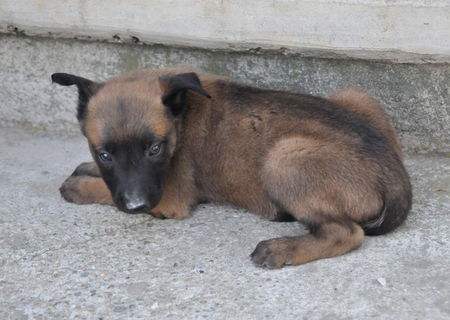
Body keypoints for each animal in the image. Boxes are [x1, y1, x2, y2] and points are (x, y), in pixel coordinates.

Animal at [51, 68, 412, 270]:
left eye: (155, 149)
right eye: (105, 155)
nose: (137, 204)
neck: (181, 113)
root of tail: (396, 177)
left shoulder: (169, 197)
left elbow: (105, 193)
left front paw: (78, 187)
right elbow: (107, 182)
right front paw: (85, 168)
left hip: (284, 156)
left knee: (346, 232)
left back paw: (282, 248)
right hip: (356, 95)